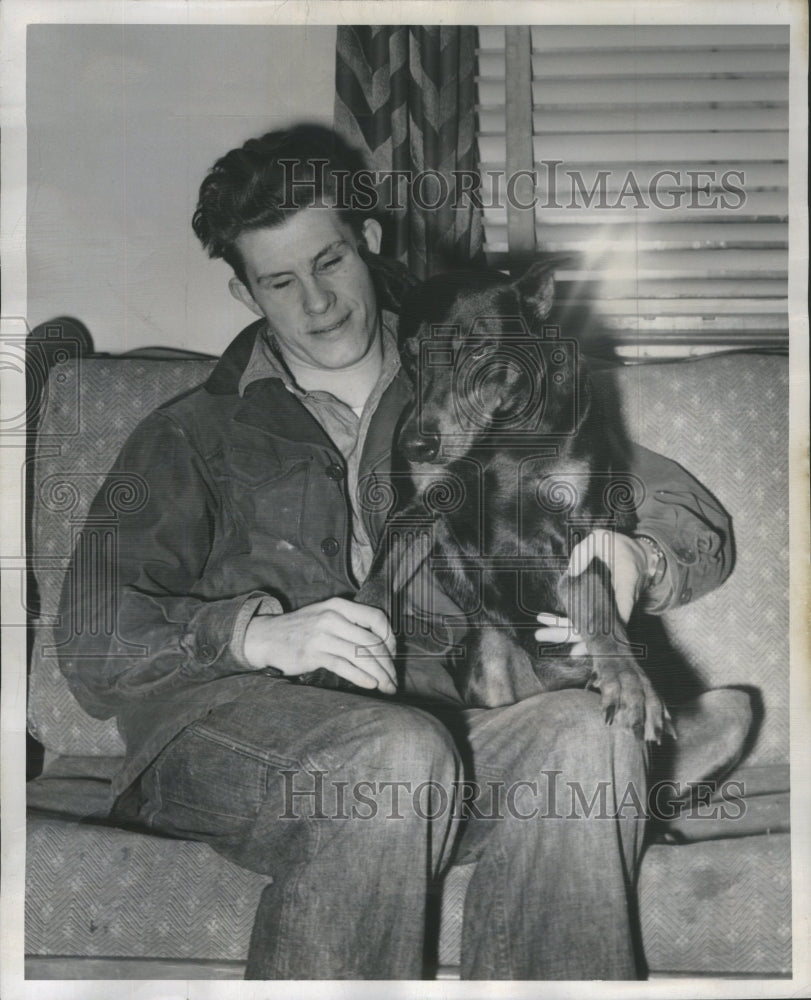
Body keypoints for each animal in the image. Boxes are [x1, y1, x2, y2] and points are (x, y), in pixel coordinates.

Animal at [356, 262, 672, 748]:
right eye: (408, 353)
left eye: (478, 347)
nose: (415, 447)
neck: (499, 435)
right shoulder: (414, 511)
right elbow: (374, 586)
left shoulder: (581, 521)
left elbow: (593, 595)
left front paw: (629, 684)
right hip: (488, 652)